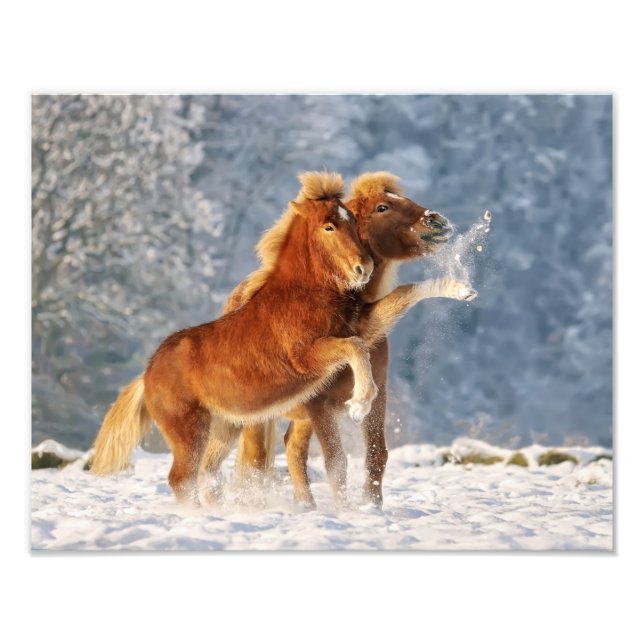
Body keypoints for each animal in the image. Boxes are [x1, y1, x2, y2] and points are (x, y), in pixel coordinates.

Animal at [90, 171, 379, 504]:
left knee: (206, 472)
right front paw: (360, 404)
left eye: (353, 222)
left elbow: (363, 341)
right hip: (190, 432)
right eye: (328, 226)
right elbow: (354, 347)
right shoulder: (307, 357)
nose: (364, 268)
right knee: (182, 478)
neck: (301, 295)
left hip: (224, 428)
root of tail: (146, 375)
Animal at [228, 172, 476, 507]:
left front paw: (372, 507)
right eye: (383, 207)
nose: (438, 221)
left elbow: (377, 456)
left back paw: (306, 507)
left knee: (292, 450)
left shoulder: (378, 395)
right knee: (256, 461)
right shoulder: (319, 404)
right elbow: (336, 462)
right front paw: (345, 510)